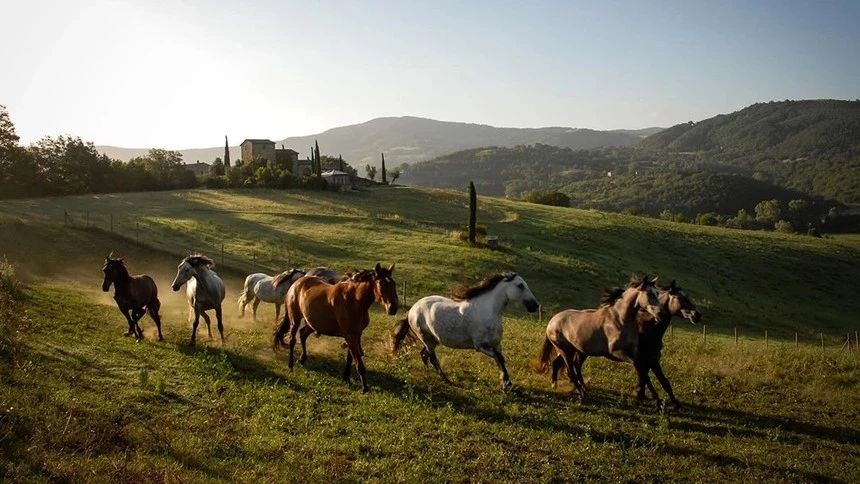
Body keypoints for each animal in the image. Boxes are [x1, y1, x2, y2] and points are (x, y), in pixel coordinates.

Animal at [272, 264, 400, 394]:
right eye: (381, 284)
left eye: (393, 284)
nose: (393, 308)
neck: (354, 301)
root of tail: (296, 283)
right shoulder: (350, 336)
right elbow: (358, 363)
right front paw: (364, 388)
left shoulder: (355, 334)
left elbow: (350, 358)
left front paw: (346, 378)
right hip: (295, 319)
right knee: (293, 340)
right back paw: (290, 365)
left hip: (314, 323)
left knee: (303, 334)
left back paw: (302, 359)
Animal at [390, 272, 536, 390]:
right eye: (520, 285)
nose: (535, 305)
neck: (488, 311)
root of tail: (412, 309)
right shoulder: (480, 346)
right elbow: (500, 358)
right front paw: (506, 385)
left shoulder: (496, 344)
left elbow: (500, 361)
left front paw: (507, 384)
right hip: (426, 339)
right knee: (432, 358)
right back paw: (447, 380)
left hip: (433, 339)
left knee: (424, 354)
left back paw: (429, 372)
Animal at [532, 276, 664, 398]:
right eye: (649, 293)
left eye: (657, 293)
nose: (660, 314)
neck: (620, 319)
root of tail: (552, 321)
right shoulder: (615, 353)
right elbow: (640, 367)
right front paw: (649, 396)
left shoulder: (634, 351)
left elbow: (644, 369)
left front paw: (653, 397)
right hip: (565, 350)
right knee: (571, 370)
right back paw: (581, 392)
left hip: (575, 350)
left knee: (559, 364)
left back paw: (557, 385)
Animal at [596, 280, 700, 408]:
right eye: (679, 297)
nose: (697, 315)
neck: (647, 330)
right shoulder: (643, 361)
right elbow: (647, 379)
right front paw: (649, 399)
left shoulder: (652, 360)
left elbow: (663, 382)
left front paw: (676, 404)